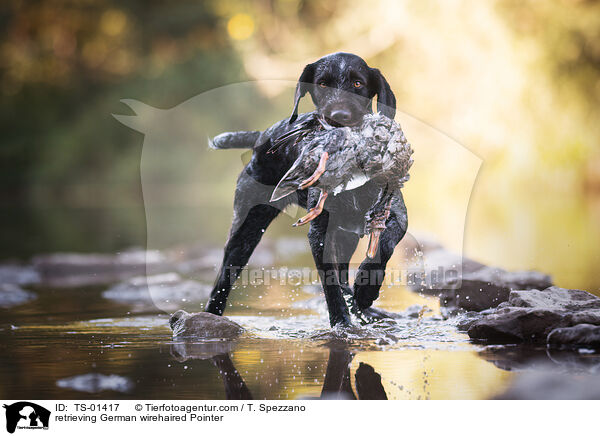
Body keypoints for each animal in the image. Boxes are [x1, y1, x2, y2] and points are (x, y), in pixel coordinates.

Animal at [206, 52, 408, 326]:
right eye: (321, 84)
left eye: (358, 83)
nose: (338, 116)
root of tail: (261, 137)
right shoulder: (319, 233)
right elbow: (330, 283)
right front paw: (341, 322)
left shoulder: (394, 214)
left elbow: (385, 246)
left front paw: (366, 291)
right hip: (245, 232)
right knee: (222, 282)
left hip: (345, 236)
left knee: (345, 274)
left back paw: (363, 308)